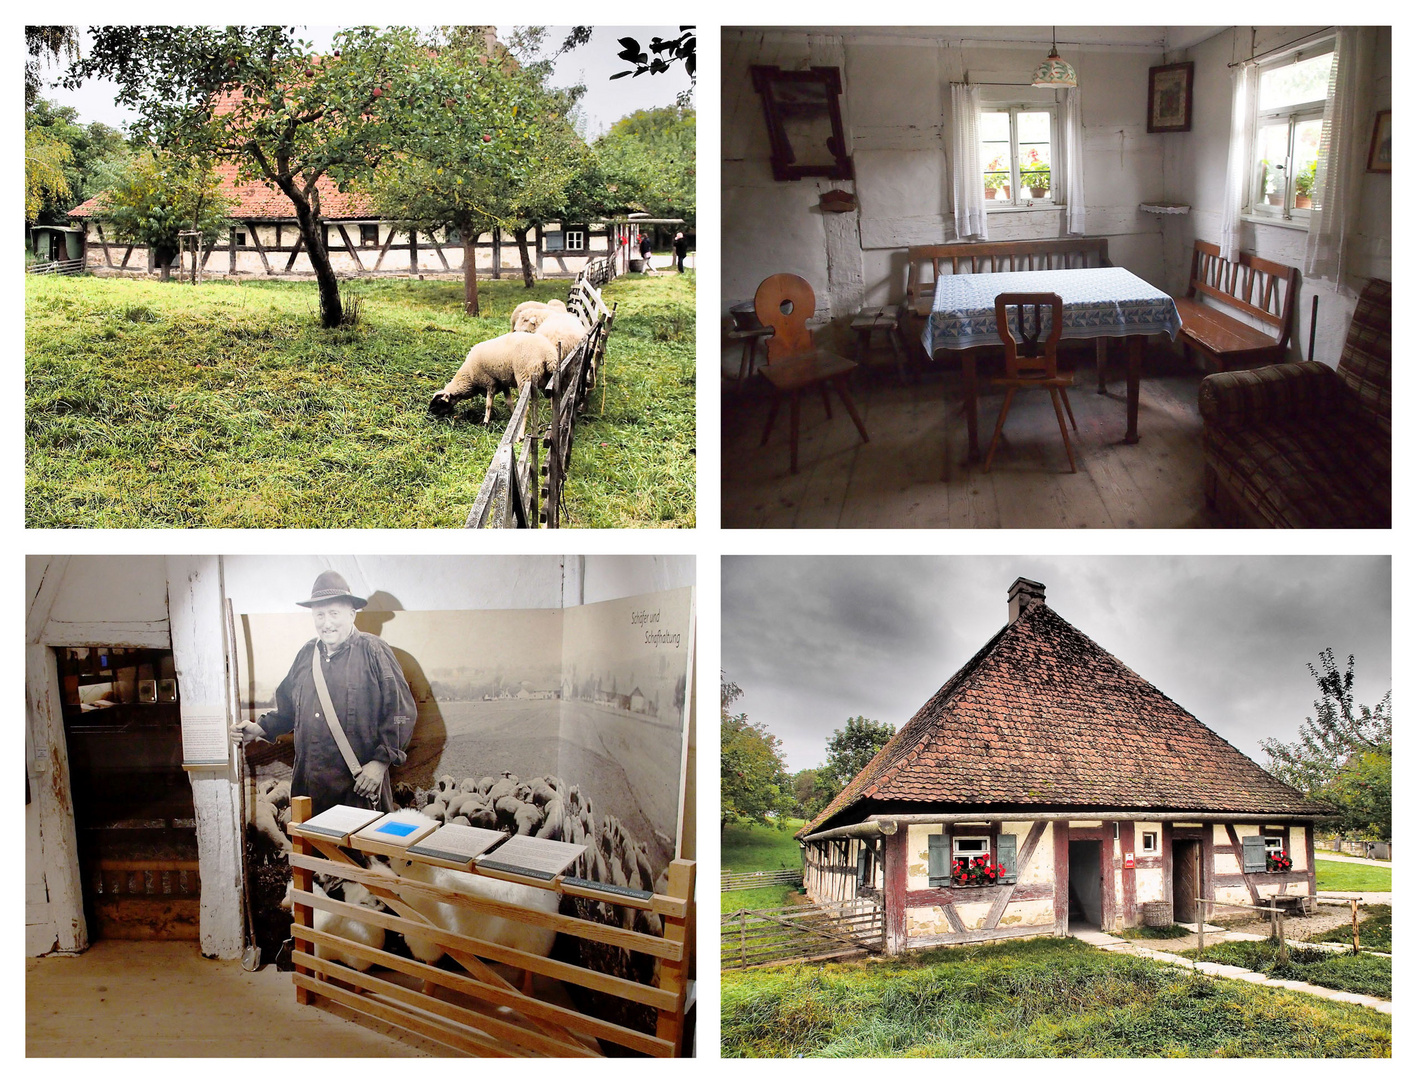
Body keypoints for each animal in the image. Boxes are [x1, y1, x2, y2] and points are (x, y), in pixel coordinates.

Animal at [427, 330, 561, 422]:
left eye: (438, 402)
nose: (428, 413)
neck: (469, 377)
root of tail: (549, 354)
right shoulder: (503, 383)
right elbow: (509, 402)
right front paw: (512, 414)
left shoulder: (490, 383)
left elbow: (488, 405)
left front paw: (486, 422)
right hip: (548, 379)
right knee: (554, 401)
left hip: (525, 376)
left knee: (526, 408)